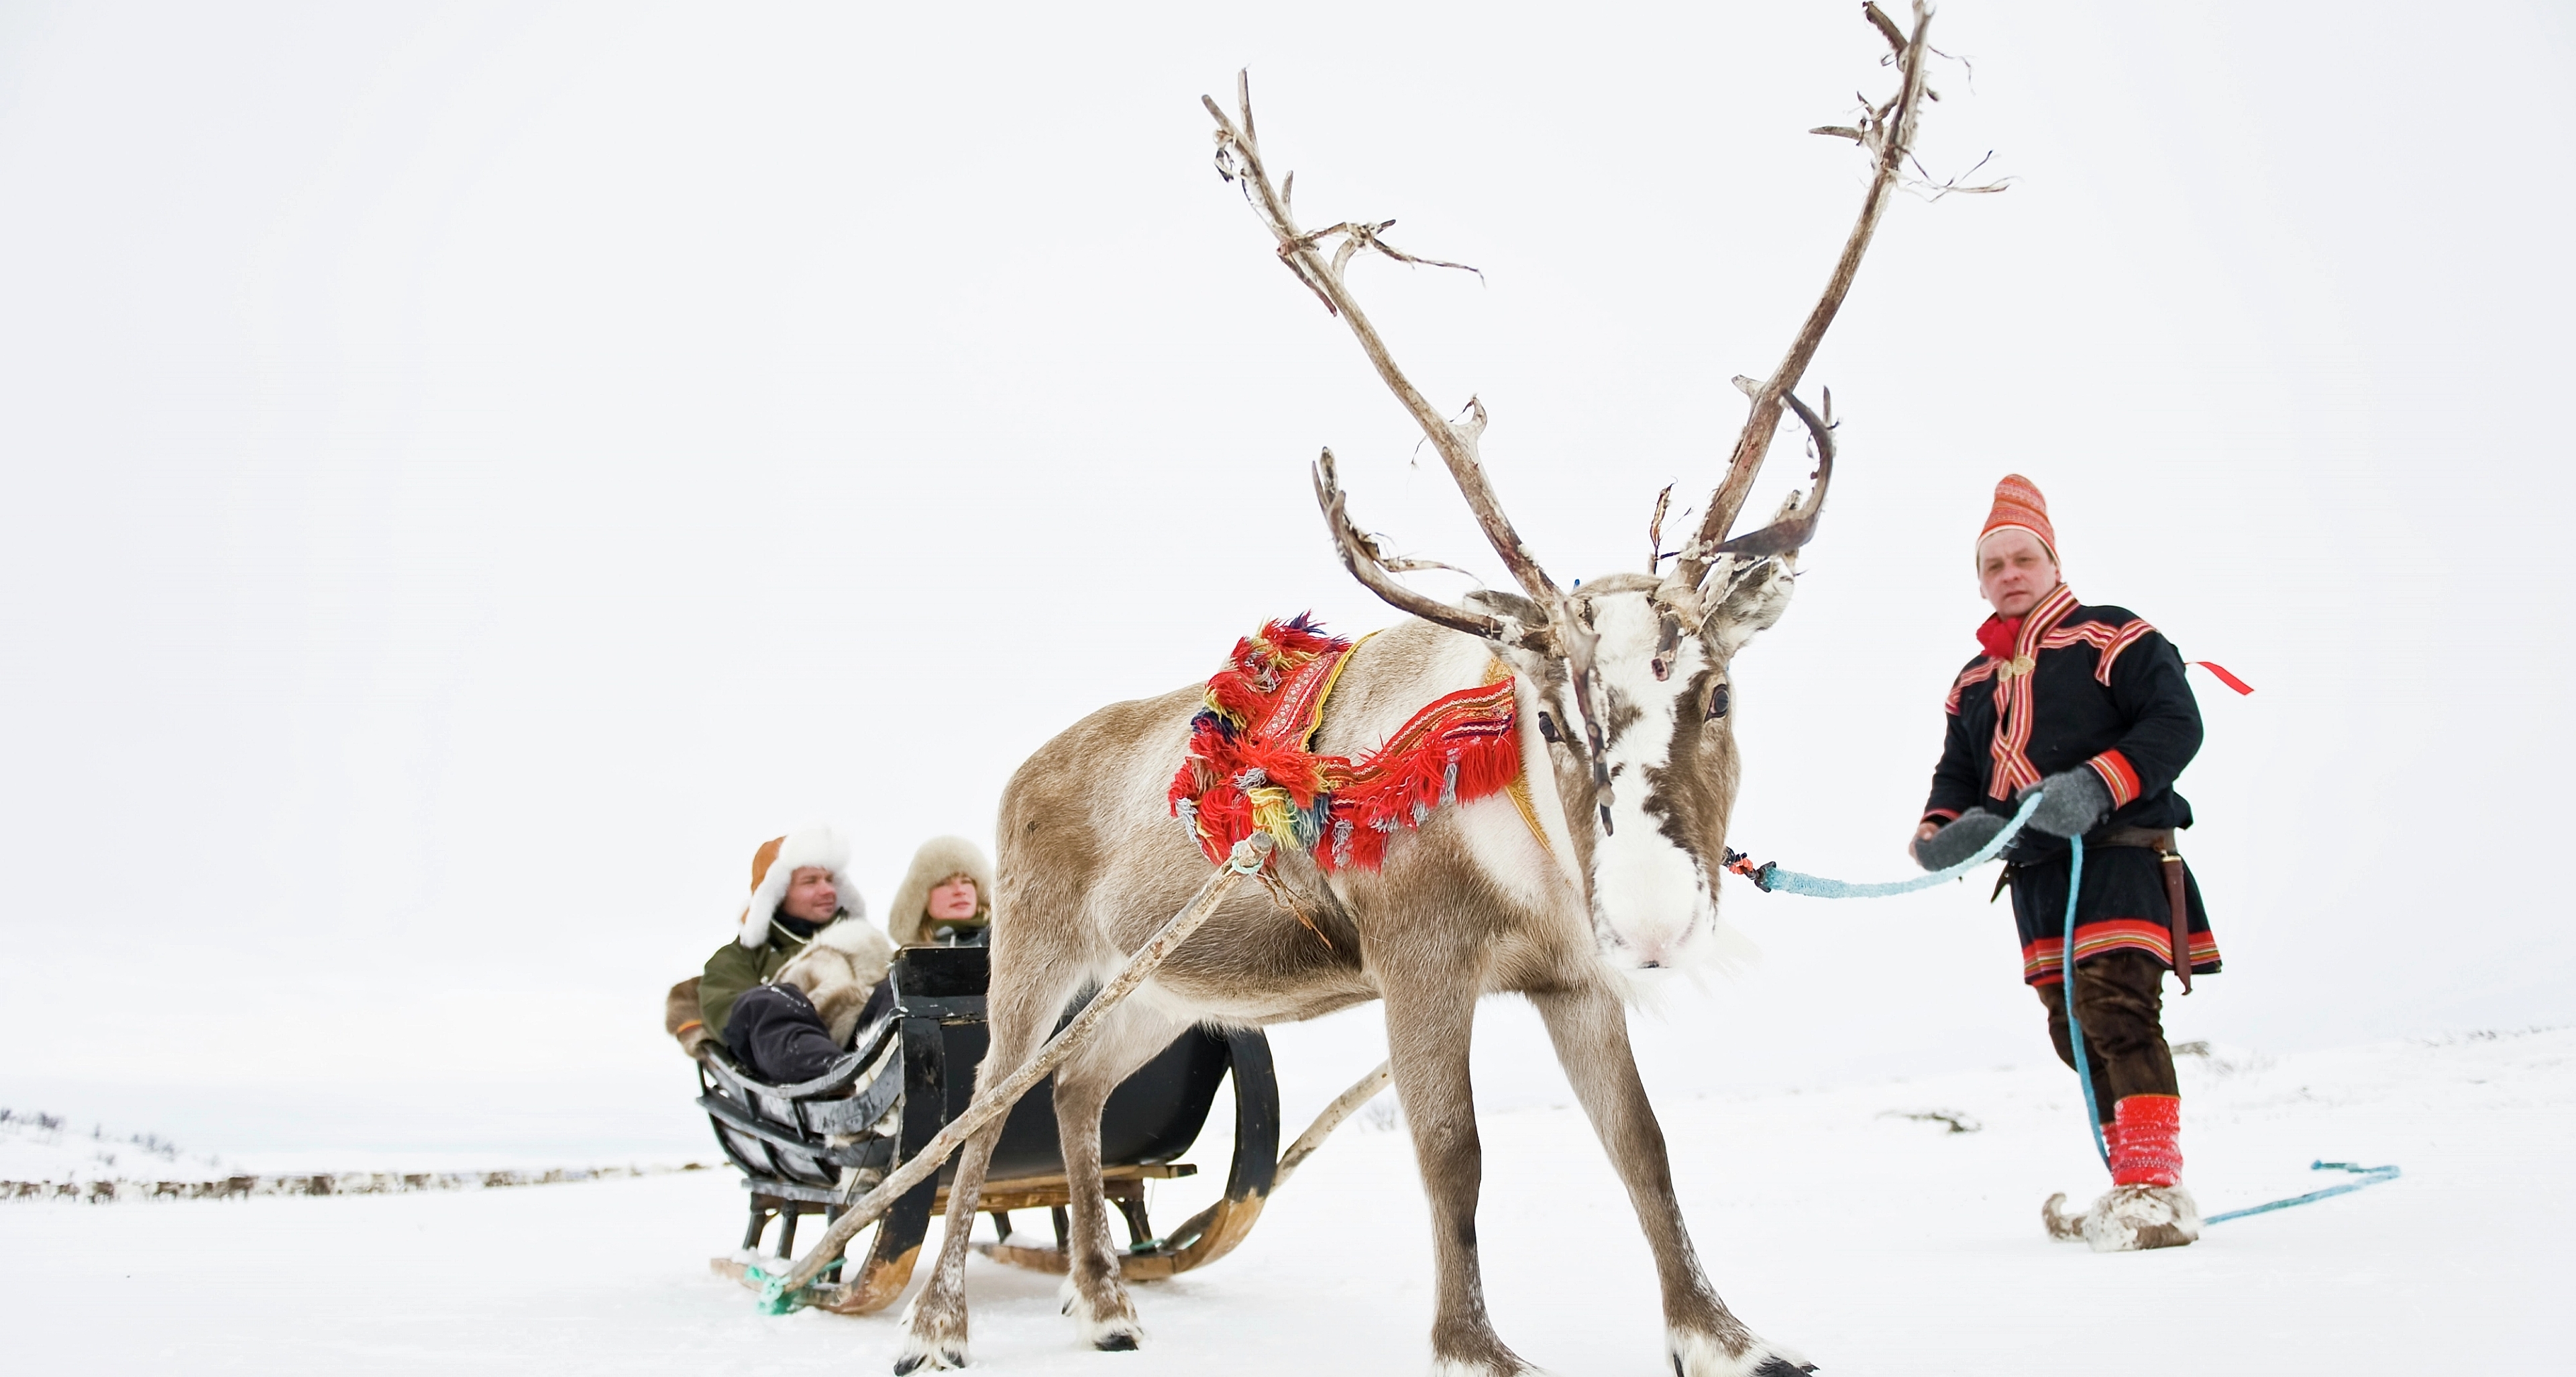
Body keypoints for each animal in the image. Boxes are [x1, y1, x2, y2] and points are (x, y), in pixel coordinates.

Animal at [895, 6, 1952, 1374]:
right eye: (1552, 715)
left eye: (1717, 694)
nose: (1656, 919)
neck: (1530, 850)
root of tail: (1027, 765)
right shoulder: (1419, 958)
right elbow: (1454, 1152)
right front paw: (1474, 1344)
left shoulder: (1572, 974)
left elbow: (1645, 1148)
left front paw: (1723, 1334)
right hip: (1037, 946)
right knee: (983, 1112)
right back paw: (938, 1326)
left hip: (1166, 985)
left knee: (1077, 1089)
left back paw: (1105, 1297)